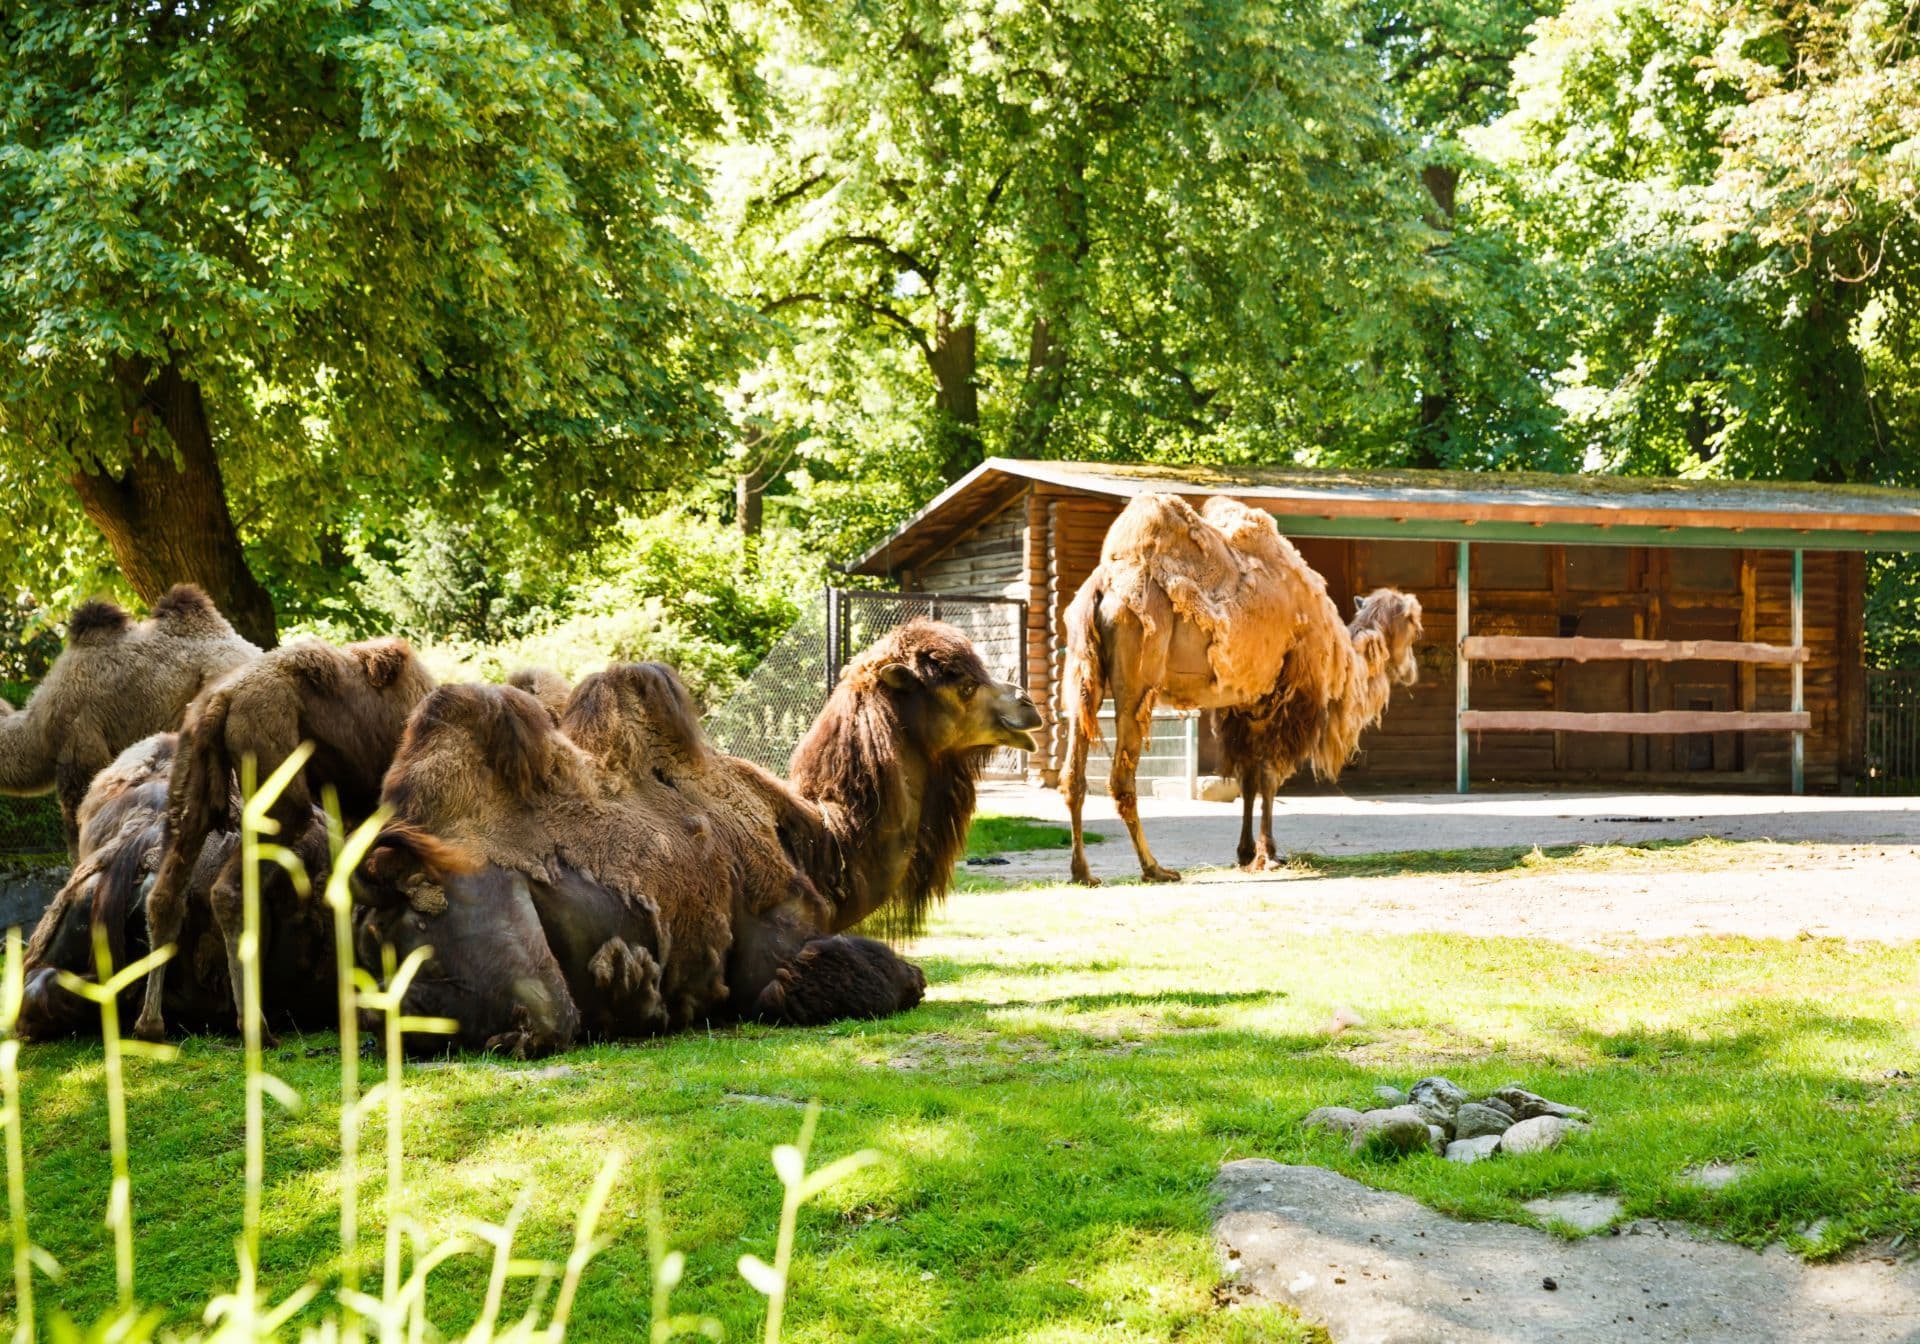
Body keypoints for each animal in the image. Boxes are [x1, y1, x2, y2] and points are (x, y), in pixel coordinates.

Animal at [133, 636, 436, 1041]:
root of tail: (220, 700)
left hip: (191, 781)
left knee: (166, 893)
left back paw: (150, 1024)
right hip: (279, 791)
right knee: (229, 890)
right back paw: (255, 1025)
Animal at [354, 621, 1039, 1053]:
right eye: (959, 681)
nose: (1027, 706)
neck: (820, 847)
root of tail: (380, 890)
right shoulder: (775, 950)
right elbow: (899, 978)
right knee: (547, 1019)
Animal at [1060, 493, 1423, 884]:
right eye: (1415, 629)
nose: (1412, 671)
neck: (1341, 653)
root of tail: (1103, 587)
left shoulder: (1246, 703)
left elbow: (1248, 778)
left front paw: (1247, 851)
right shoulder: (1289, 698)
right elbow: (1269, 776)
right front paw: (1269, 854)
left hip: (1083, 680)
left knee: (1073, 775)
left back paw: (1082, 872)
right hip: (1136, 683)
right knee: (1122, 778)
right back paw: (1155, 868)